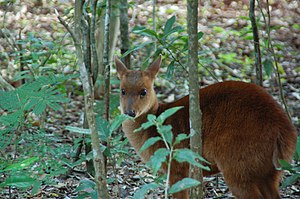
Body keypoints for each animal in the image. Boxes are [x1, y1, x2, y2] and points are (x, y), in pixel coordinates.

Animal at [115, 54, 298, 199]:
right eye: (122, 91)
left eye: (143, 91)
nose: (129, 112)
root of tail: (286, 132)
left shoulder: (177, 167)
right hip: (269, 170)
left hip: (237, 165)